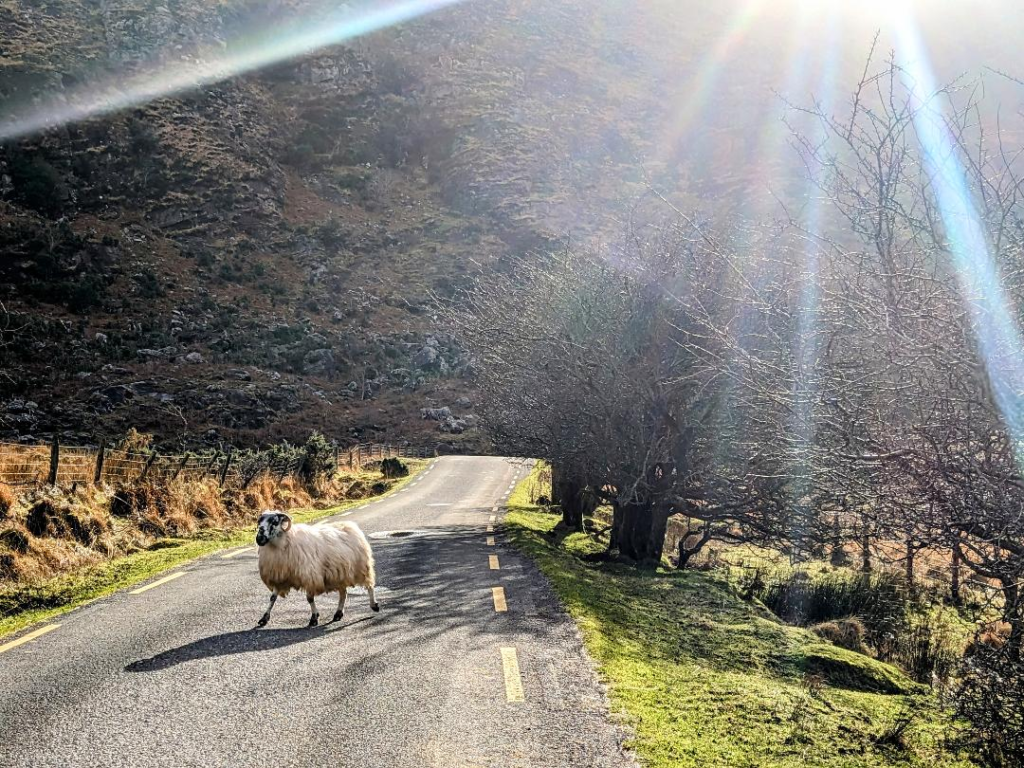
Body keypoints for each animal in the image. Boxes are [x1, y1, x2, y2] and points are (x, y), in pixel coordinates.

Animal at [253, 512, 382, 626]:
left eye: (274, 521)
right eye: (259, 521)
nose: (259, 539)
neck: (283, 542)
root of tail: (350, 525)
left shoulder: (310, 576)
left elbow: (309, 598)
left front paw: (314, 618)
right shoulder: (279, 576)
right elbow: (272, 598)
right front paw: (264, 618)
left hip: (361, 567)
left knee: (369, 586)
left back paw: (374, 605)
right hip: (340, 573)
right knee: (343, 594)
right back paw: (338, 613)